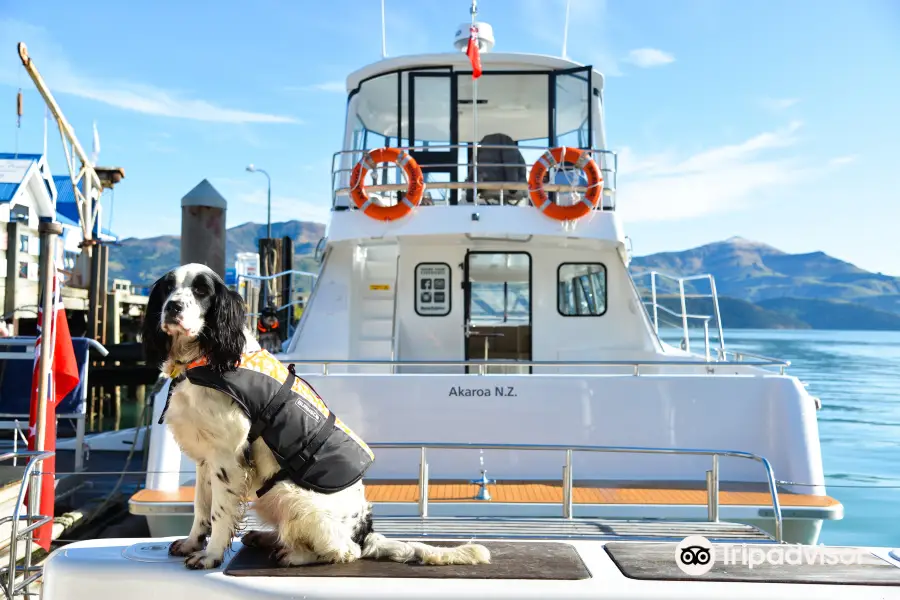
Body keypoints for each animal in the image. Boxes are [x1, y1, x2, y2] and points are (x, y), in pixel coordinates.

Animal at [142, 264, 492, 568]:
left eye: (201, 291)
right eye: (168, 288)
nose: (173, 307)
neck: (202, 359)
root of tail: (365, 532)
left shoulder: (228, 458)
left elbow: (219, 512)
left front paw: (210, 556)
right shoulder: (205, 458)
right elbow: (201, 508)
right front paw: (192, 543)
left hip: (289, 493)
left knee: (344, 551)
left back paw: (293, 554)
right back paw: (266, 538)